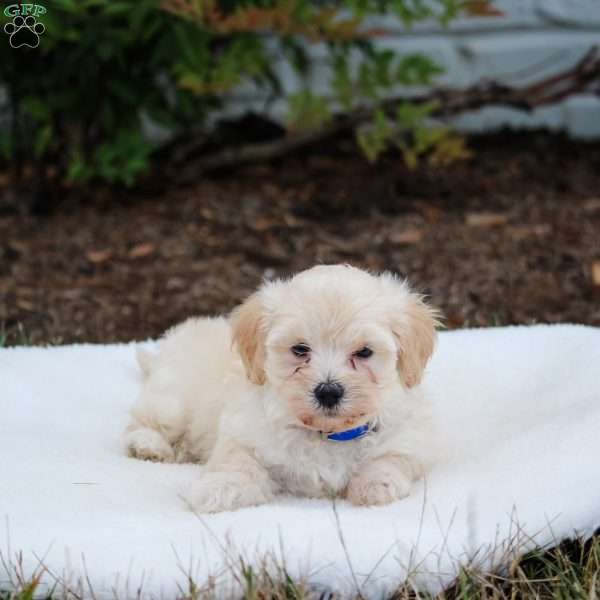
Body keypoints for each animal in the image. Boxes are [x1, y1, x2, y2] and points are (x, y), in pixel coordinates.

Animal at [125, 264, 440, 512]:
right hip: (171, 400)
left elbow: (393, 458)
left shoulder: (415, 439)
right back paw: (148, 446)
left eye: (364, 352)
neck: (325, 434)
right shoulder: (243, 434)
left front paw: (376, 484)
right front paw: (219, 488)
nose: (328, 392)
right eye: (300, 349)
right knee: (142, 422)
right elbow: (237, 462)